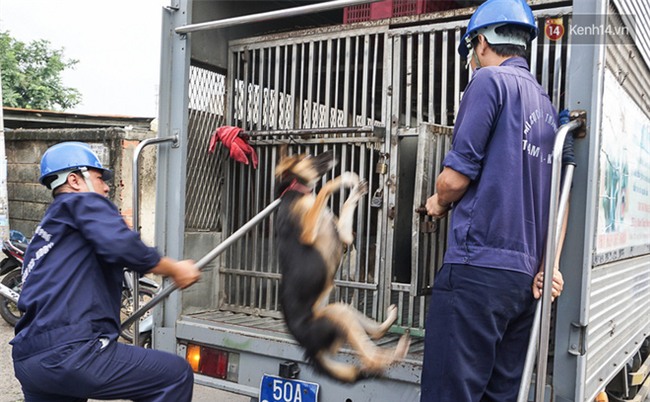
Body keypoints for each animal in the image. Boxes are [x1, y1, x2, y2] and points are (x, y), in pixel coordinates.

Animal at [274, 149, 410, 382]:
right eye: (308, 157)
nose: (332, 152)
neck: (296, 191)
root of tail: (309, 348)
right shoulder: (307, 232)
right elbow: (325, 188)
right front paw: (344, 179)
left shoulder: (345, 236)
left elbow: (343, 206)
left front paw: (355, 190)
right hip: (338, 317)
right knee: (372, 360)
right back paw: (398, 350)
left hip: (340, 310)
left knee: (375, 336)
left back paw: (393, 323)